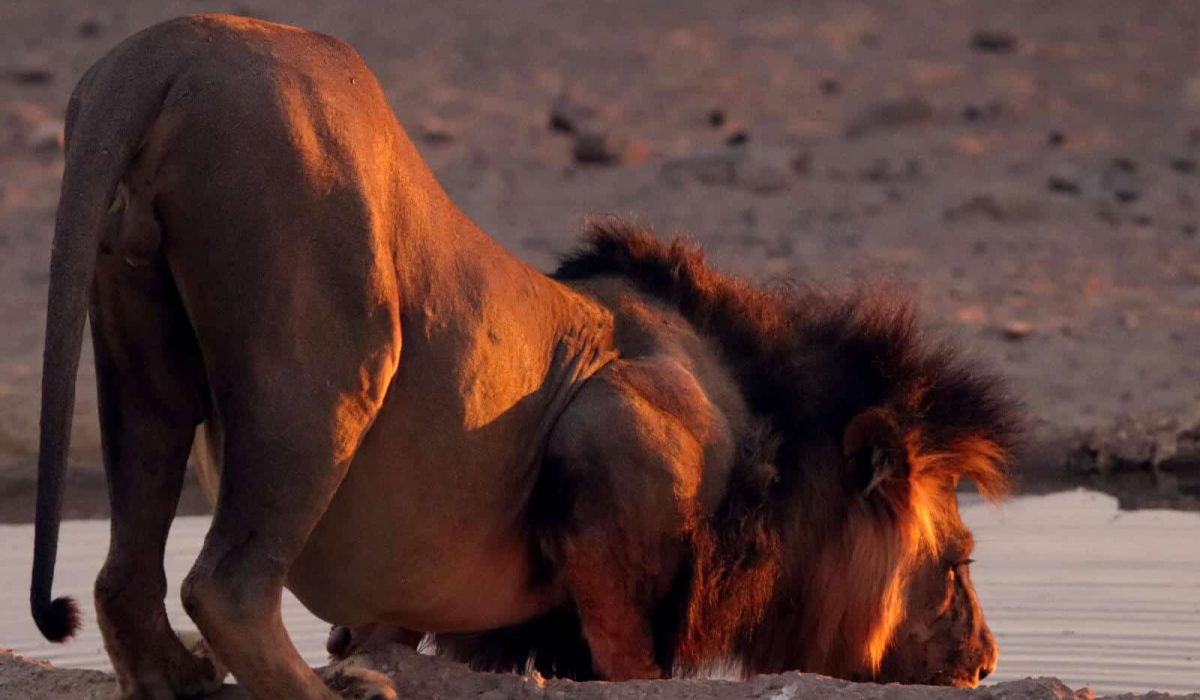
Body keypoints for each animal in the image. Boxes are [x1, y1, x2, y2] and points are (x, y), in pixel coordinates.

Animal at [30, 14, 1016, 700]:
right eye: (961, 562)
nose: (986, 660)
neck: (761, 424)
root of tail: (164, 50)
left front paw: (365, 648)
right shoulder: (616, 426)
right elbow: (624, 645)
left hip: (138, 343)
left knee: (124, 574)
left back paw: (183, 678)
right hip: (331, 364)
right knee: (227, 586)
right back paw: (336, 691)